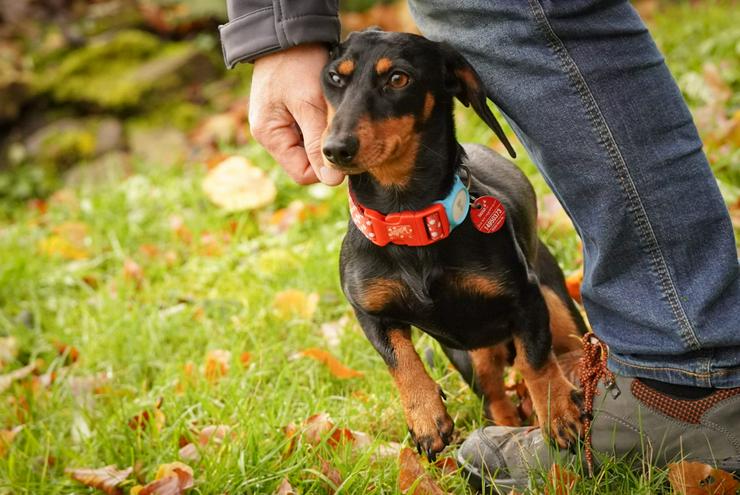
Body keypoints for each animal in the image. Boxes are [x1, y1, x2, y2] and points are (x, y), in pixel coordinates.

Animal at [320, 30, 588, 462]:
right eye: (334, 77)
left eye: (398, 78)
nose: (335, 149)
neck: (409, 220)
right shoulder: (370, 312)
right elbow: (400, 361)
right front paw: (427, 418)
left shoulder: (526, 301)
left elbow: (536, 362)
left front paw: (559, 413)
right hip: (472, 358)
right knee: (496, 402)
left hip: (559, 313)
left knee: (558, 357)